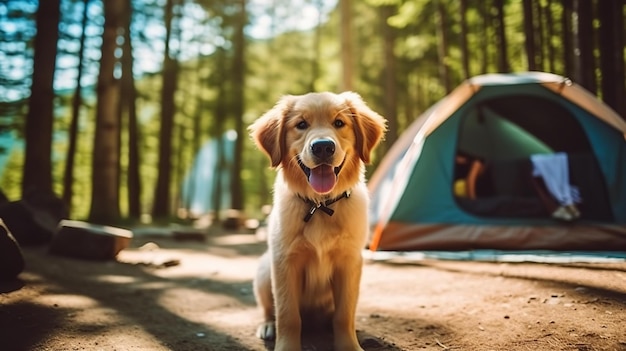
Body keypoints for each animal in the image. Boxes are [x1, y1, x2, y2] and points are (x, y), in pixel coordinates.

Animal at [249, 93, 386, 351]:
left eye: (339, 123)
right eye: (301, 124)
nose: (323, 146)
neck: (320, 205)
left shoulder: (349, 262)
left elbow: (344, 315)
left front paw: (349, 346)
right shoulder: (284, 261)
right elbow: (288, 315)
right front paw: (287, 346)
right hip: (263, 270)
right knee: (270, 310)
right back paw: (267, 325)